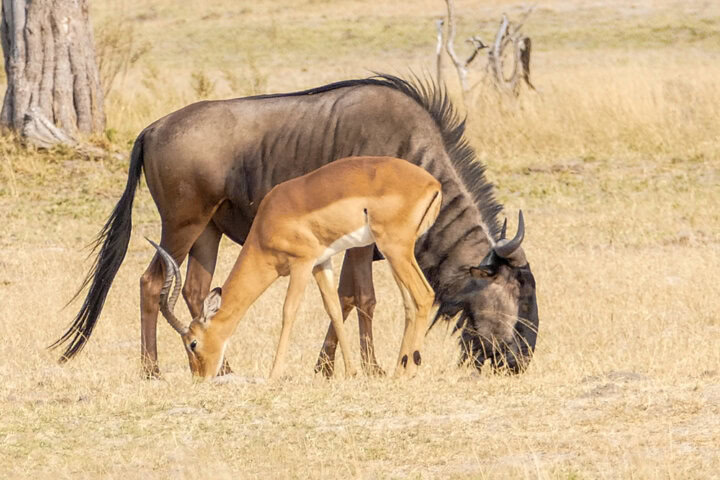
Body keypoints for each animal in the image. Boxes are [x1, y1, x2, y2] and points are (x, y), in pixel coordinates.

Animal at [148, 156, 441, 379]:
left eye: (193, 343)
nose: (201, 377)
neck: (267, 224)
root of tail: (433, 183)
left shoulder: (301, 263)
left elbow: (288, 311)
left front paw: (273, 375)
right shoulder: (321, 262)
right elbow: (334, 310)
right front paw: (351, 372)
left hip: (395, 249)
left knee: (424, 295)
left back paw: (409, 371)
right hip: (396, 255)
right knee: (410, 304)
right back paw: (398, 369)